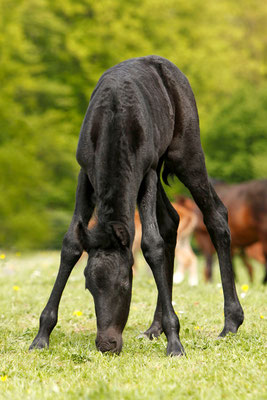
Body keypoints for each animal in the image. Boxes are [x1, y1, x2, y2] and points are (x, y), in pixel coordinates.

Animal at [29, 54, 245, 354]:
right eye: (88, 286)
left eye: (125, 283)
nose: (107, 344)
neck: (113, 120)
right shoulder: (85, 173)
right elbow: (71, 243)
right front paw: (41, 336)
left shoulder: (147, 172)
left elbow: (151, 245)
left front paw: (175, 342)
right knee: (171, 221)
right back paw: (155, 327)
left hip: (186, 153)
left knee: (215, 214)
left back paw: (231, 322)